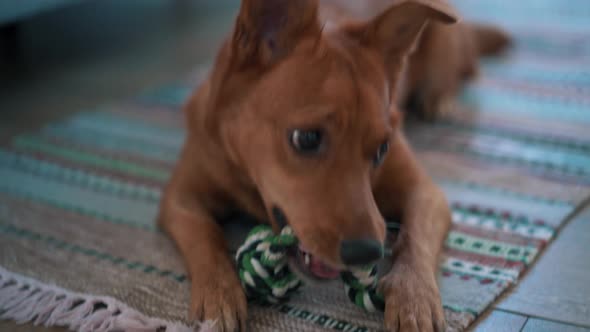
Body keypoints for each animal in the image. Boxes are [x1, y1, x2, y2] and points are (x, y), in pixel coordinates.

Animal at [158, 0, 512, 330]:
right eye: (307, 138)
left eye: (382, 148)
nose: (367, 252)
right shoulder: (180, 197)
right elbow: (205, 237)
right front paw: (219, 294)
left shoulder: (426, 192)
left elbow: (415, 240)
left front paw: (415, 297)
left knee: (453, 76)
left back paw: (439, 101)